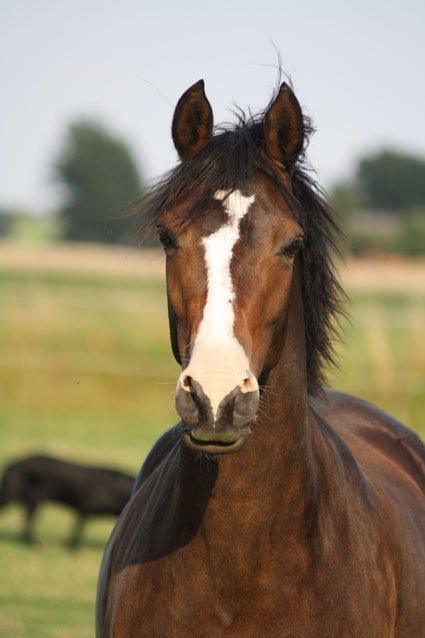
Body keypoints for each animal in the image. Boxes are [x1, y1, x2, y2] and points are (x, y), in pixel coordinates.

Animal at [0, 456, 134, 552]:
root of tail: (12, 464)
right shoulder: (84, 510)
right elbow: (77, 531)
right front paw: (71, 548)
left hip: (31, 503)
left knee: (26, 524)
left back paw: (30, 543)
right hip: (14, 497)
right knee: (27, 524)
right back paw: (32, 544)